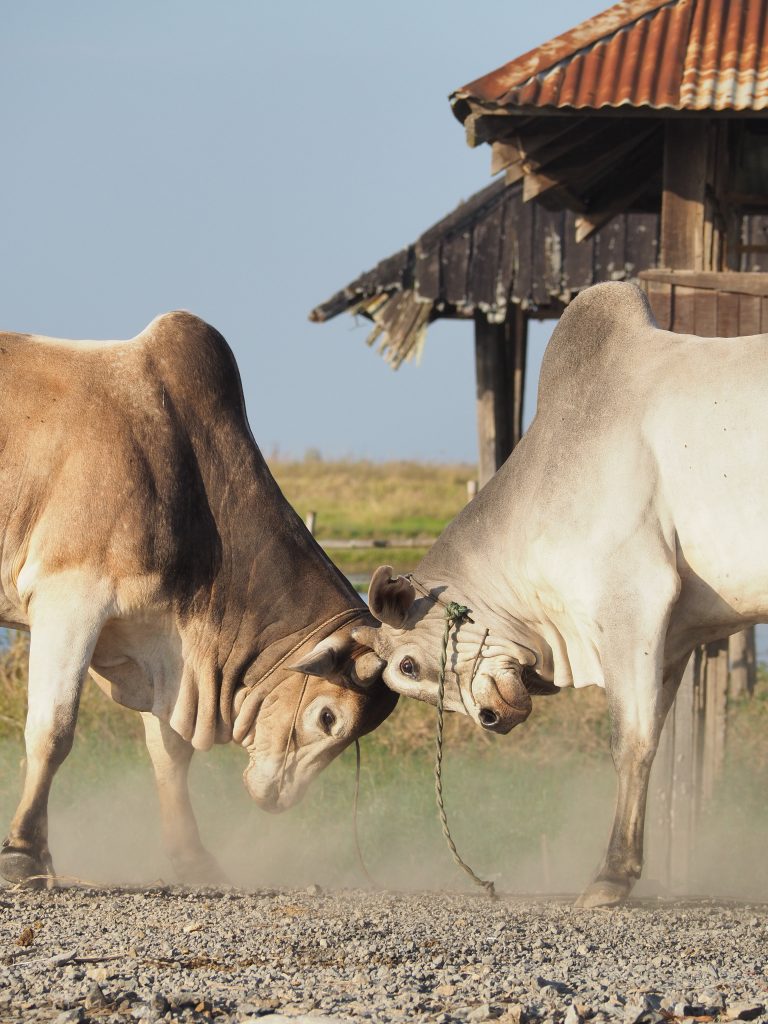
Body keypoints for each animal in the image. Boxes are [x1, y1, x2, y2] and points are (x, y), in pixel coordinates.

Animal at [0, 311, 396, 887]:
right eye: (328, 718)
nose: (279, 799)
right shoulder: (69, 597)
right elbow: (53, 730)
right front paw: (25, 853)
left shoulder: (159, 643)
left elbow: (170, 753)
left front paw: (193, 857)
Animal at [343, 281, 766, 907]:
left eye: (410, 666)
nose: (492, 717)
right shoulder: (676, 638)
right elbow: (651, 742)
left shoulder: (633, 599)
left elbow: (630, 741)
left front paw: (611, 877)